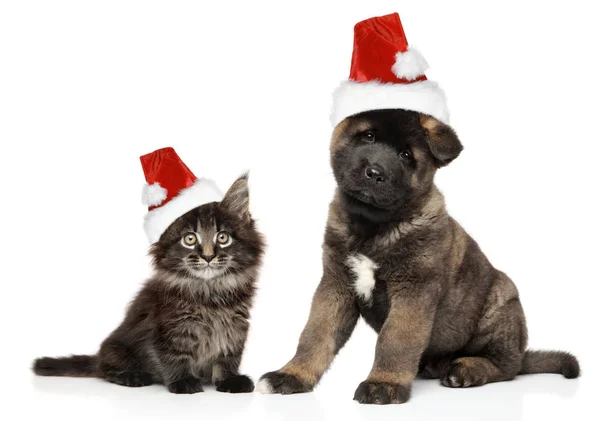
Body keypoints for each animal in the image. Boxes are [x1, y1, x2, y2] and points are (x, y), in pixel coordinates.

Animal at [32, 175, 262, 394]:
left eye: (222, 237)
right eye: (189, 239)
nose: (207, 256)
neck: (210, 292)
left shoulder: (235, 326)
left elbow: (228, 357)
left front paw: (229, 380)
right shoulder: (169, 328)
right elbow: (174, 356)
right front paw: (183, 381)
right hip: (117, 350)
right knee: (105, 370)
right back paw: (132, 376)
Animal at [258, 108, 580, 404]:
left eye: (405, 155)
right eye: (369, 136)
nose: (375, 173)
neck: (372, 225)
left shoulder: (413, 290)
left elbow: (395, 340)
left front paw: (384, 384)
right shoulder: (336, 284)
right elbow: (315, 335)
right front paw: (292, 375)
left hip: (501, 300)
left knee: (507, 367)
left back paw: (465, 369)